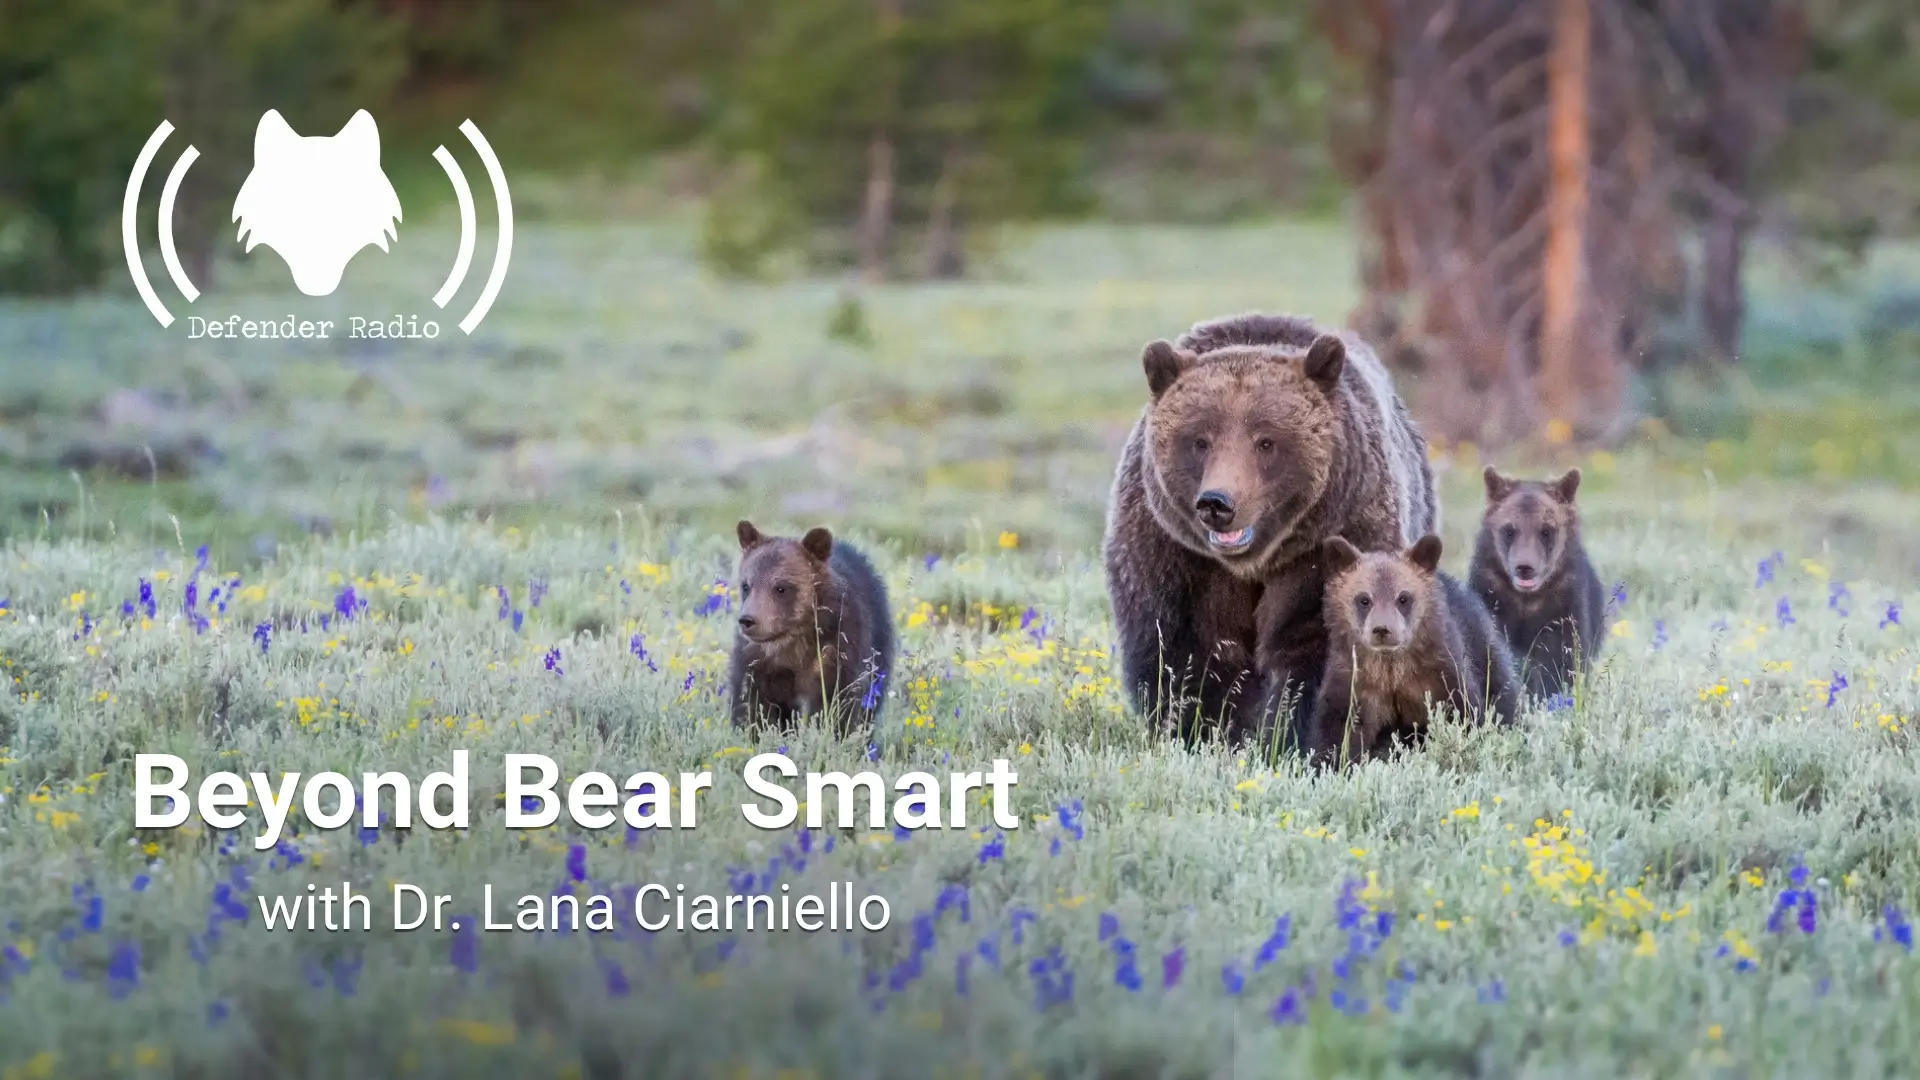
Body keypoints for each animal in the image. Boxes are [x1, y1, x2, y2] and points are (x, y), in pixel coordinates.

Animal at [727, 521, 895, 738]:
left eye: (781, 587)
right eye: (746, 585)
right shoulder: (757, 663)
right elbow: (751, 706)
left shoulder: (838, 651)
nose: (748, 620)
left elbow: (840, 705)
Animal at [1102, 312, 1438, 753]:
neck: (1253, 564)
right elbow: (1185, 657)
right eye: (1200, 440)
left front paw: (1288, 735)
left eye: (1266, 441)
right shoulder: (1176, 558)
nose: (1218, 503)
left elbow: (1318, 648)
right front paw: (1206, 732)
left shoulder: (1332, 544)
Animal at [1309, 535, 1521, 767]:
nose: (1382, 630)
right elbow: (1338, 731)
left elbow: (1463, 714)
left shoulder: (1441, 675)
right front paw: (1332, 763)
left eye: (1403, 597)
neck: (1391, 669)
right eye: (1364, 599)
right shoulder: (1354, 681)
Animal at [1468, 466, 1606, 699]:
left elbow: (1561, 665)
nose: (1525, 567)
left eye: (1546, 530)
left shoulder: (1563, 609)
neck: (1526, 601)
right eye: (1509, 529)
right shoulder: (1491, 599)